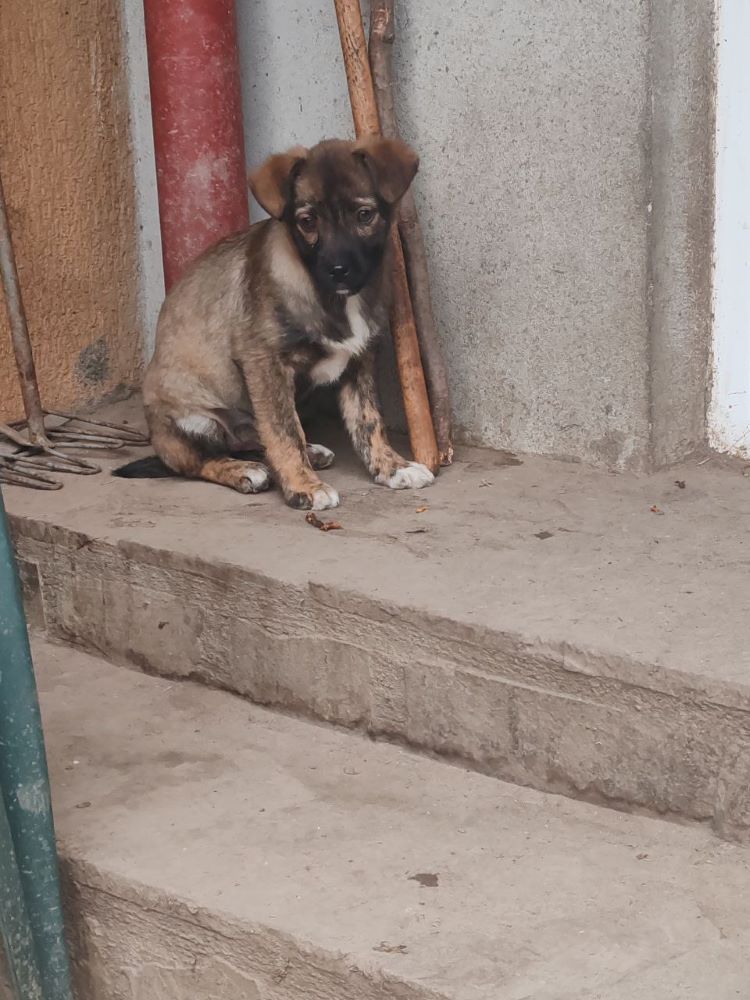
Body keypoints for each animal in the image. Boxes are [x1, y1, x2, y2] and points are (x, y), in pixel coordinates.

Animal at [114, 135, 438, 508]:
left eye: (364, 214)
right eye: (308, 221)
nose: (338, 270)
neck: (333, 298)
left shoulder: (360, 360)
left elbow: (368, 421)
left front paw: (392, 467)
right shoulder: (264, 362)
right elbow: (284, 431)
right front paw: (304, 486)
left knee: (256, 439)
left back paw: (310, 453)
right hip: (190, 419)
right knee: (200, 461)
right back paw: (244, 470)